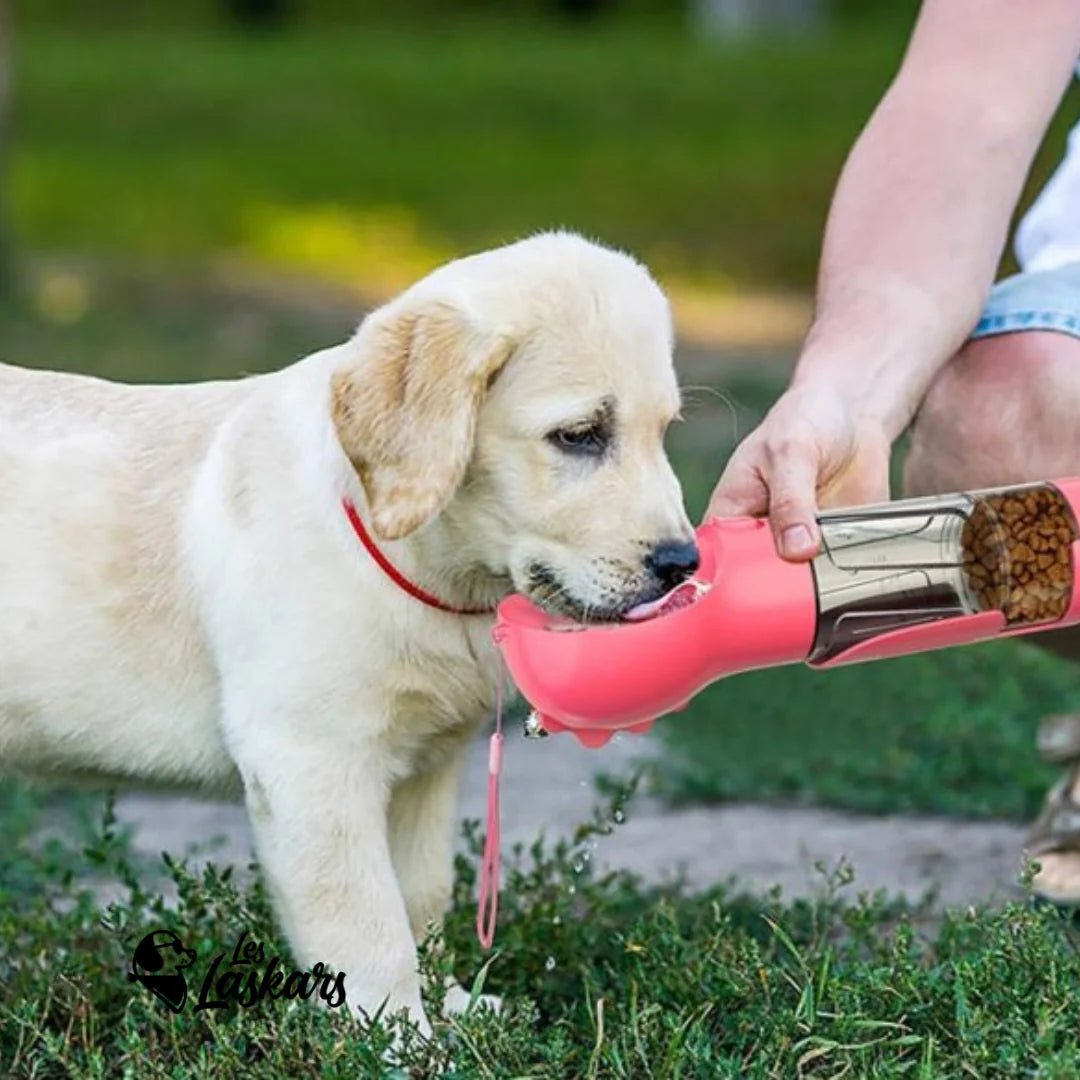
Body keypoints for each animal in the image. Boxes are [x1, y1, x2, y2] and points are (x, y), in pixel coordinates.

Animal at [0, 234, 691, 1028]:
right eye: (579, 436)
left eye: (664, 433)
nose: (685, 563)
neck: (425, 567)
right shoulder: (311, 760)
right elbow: (365, 921)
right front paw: (398, 1035)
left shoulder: (426, 767)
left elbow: (421, 896)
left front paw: (452, 1006)